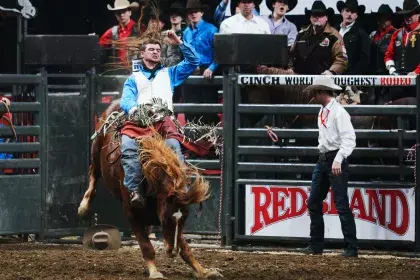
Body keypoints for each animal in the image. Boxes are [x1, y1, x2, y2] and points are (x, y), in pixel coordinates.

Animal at [79, 99, 223, 278]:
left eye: (184, 220)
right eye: (167, 218)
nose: (172, 252)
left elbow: (184, 246)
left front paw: (203, 271)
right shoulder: (131, 212)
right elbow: (146, 245)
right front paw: (155, 272)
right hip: (96, 148)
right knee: (93, 173)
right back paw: (84, 207)